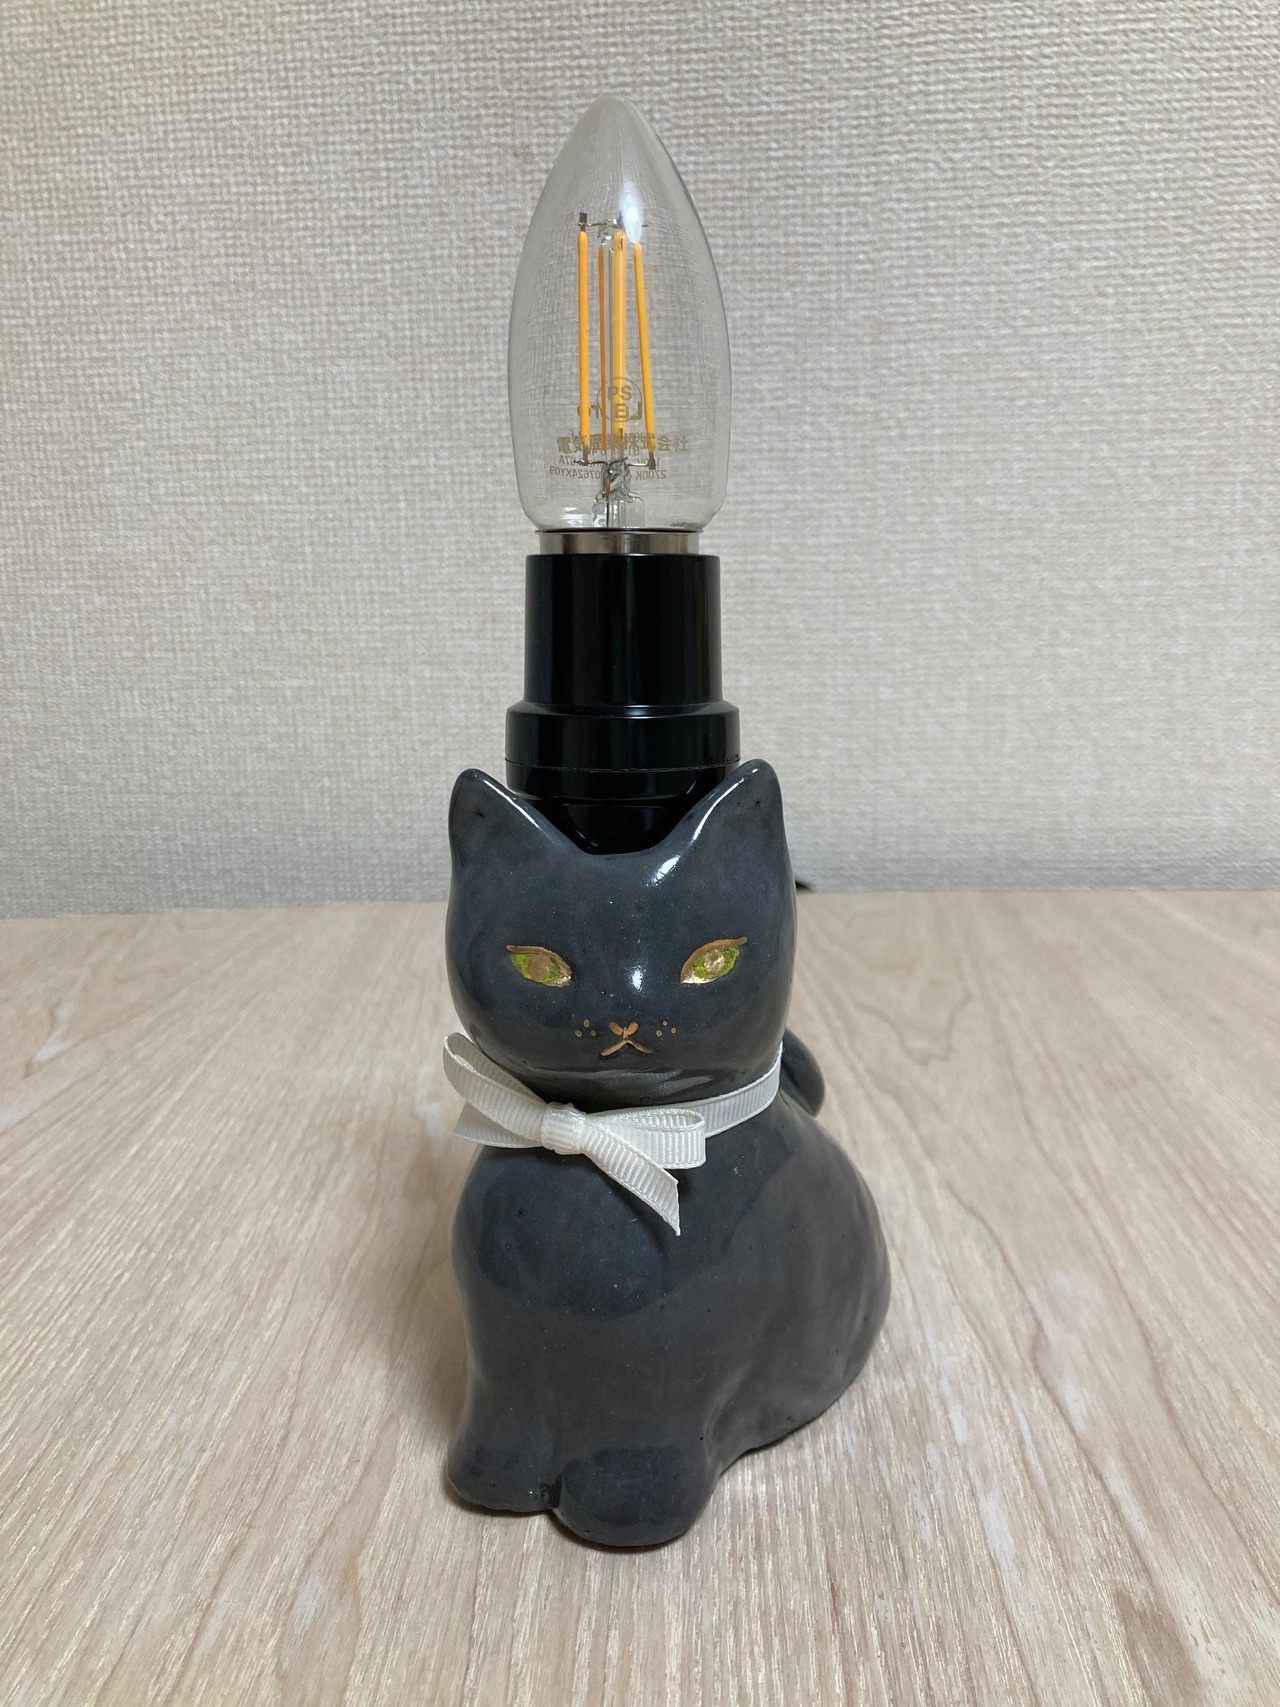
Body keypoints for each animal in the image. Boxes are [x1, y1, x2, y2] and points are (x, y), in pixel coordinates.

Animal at [444, 758, 889, 1547]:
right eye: (539, 965)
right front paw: (490, 1484)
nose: (626, 1012)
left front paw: (621, 1515)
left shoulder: (664, 1394)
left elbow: (641, 1455)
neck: (616, 1130)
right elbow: (503, 1433)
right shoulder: (499, 1369)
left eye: (712, 961)